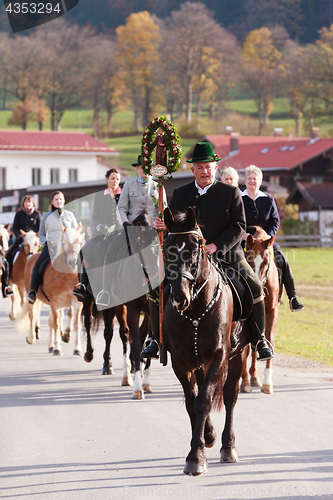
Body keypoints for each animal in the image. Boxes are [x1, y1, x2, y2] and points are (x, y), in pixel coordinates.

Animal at [16, 223, 84, 356]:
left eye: (79, 242)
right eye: (64, 243)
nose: (73, 261)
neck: (67, 276)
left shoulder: (76, 303)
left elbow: (76, 324)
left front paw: (77, 349)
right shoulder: (55, 304)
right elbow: (56, 324)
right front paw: (57, 348)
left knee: (49, 320)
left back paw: (50, 345)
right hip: (34, 297)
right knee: (33, 314)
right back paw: (32, 337)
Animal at [162, 208, 250, 476]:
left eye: (194, 250)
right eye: (167, 248)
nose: (179, 297)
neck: (195, 310)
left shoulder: (218, 356)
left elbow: (203, 402)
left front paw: (196, 457)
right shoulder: (180, 361)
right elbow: (194, 402)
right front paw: (202, 443)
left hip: (238, 355)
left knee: (230, 396)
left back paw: (228, 446)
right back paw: (210, 435)